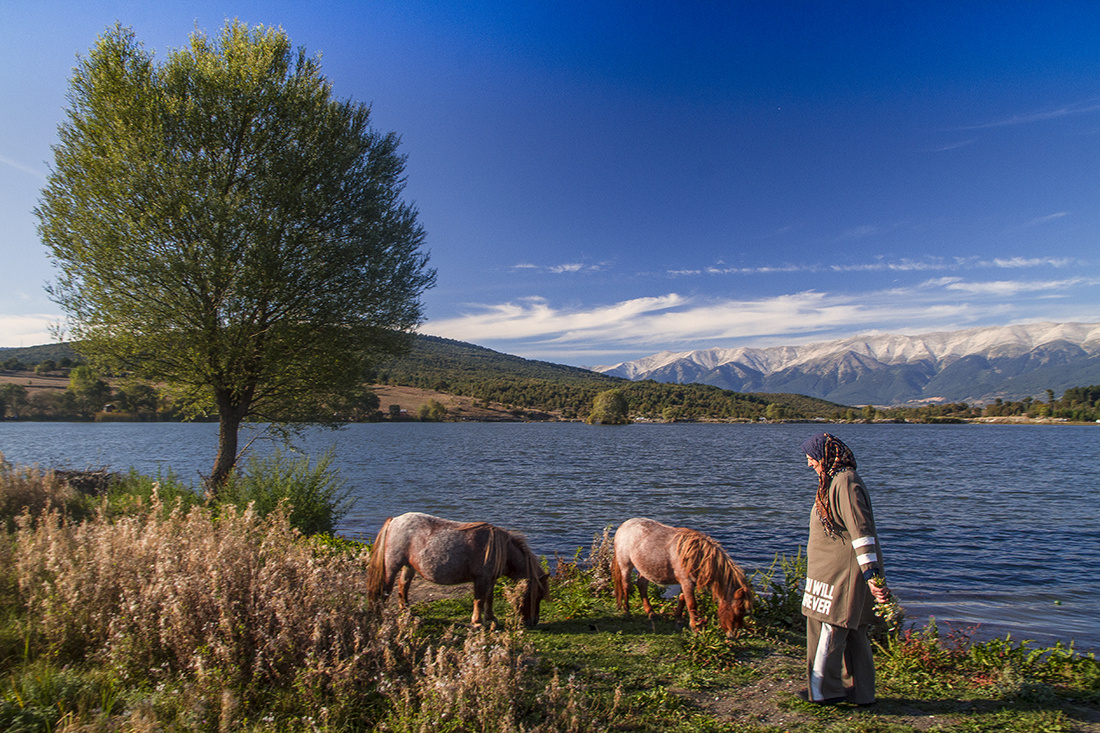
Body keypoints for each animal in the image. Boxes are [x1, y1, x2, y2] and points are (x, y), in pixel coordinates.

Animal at [365, 510, 550, 625]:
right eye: (537, 595)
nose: (533, 621)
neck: (499, 550)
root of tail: (395, 520)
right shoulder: (481, 579)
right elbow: (479, 600)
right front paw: (477, 622)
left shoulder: (490, 580)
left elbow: (489, 599)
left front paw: (491, 619)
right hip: (392, 565)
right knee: (386, 589)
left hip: (409, 566)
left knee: (403, 586)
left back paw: (406, 611)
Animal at [611, 512, 756, 633]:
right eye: (739, 610)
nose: (733, 635)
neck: (697, 556)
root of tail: (624, 525)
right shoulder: (687, 582)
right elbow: (692, 603)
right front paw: (695, 627)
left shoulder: (685, 582)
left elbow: (682, 599)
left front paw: (679, 620)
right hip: (626, 565)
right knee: (626, 586)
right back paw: (627, 612)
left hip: (645, 569)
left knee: (641, 585)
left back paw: (651, 613)